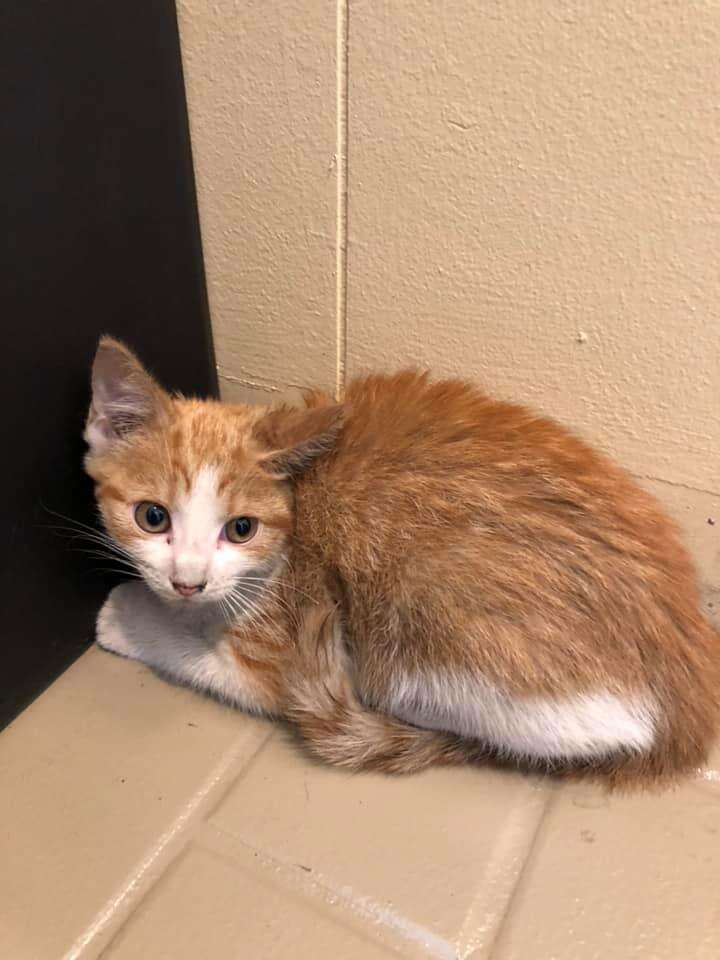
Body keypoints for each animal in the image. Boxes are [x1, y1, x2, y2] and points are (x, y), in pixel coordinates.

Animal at [86, 338, 720, 788]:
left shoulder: (288, 644)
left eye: (241, 529)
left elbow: (209, 661)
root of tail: (690, 710)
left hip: (419, 645)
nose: (187, 581)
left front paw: (128, 619)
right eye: (152, 518)